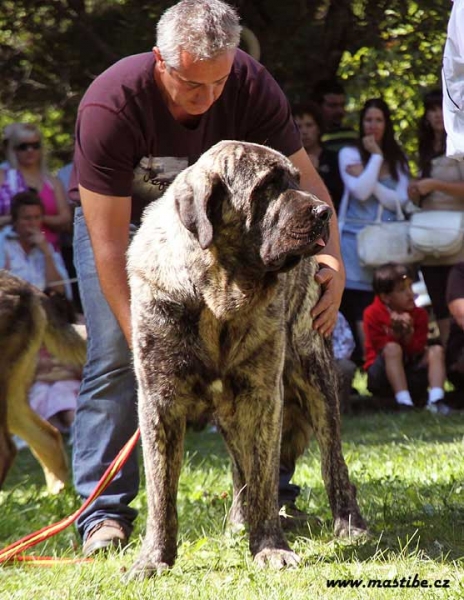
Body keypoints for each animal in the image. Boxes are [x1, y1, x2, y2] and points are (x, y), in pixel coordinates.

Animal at [128, 139, 366, 576]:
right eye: (268, 186)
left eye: (296, 180)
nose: (324, 211)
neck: (218, 290)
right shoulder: (159, 403)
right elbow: (161, 493)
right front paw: (153, 560)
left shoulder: (262, 397)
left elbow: (264, 480)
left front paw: (270, 547)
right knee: (240, 469)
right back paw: (238, 523)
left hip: (313, 373)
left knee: (332, 460)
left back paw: (350, 523)